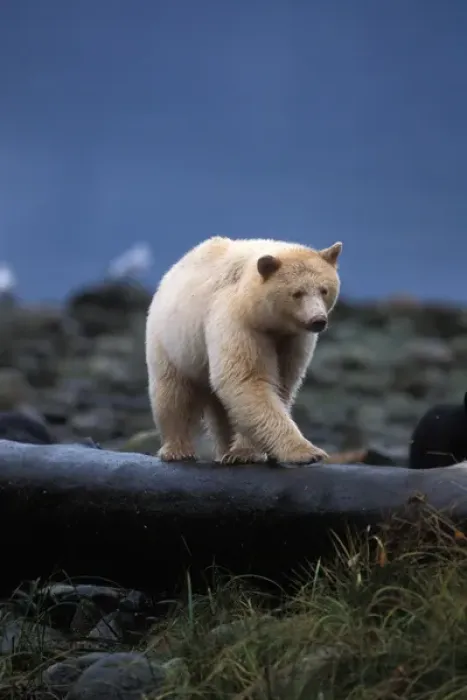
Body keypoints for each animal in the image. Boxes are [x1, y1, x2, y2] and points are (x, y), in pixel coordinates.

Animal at [145, 235, 343, 465]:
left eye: (324, 290)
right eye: (297, 293)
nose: (318, 320)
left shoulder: (293, 340)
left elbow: (283, 383)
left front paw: (245, 452)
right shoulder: (239, 322)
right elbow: (247, 380)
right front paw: (307, 452)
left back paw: (225, 449)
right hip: (171, 343)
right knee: (174, 394)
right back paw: (177, 449)